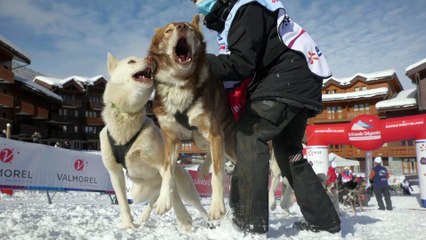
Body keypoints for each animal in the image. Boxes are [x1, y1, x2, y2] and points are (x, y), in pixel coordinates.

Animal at [98, 53, 208, 232]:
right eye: (131, 61)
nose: (151, 59)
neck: (127, 116)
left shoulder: (162, 165)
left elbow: (173, 195)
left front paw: (184, 219)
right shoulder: (114, 171)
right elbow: (122, 201)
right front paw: (128, 224)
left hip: (186, 190)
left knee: (195, 204)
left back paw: (210, 221)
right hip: (139, 192)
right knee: (151, 200)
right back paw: (144, 216)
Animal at [148, 15, 236, 221]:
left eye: (189, 28)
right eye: (168, 30)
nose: (181, 26)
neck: (179, 83)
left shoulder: (213, 131)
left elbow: (217, 174)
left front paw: (217, 206)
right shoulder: (172, 139)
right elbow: (167, 172)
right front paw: (163, 200)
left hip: (225, 142)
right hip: (200, 139)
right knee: (211, 152)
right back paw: (203, 168)